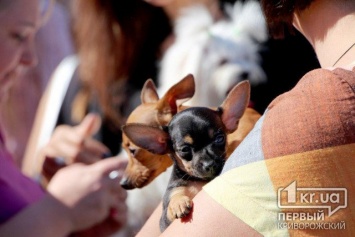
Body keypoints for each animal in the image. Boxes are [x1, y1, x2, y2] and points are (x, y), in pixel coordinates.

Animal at [122, 80, 250, 231]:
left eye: (220, 138)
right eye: (184, 149)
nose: (210, 164)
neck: (201, 181)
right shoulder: (164, 220)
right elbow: (174, 196)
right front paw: (177, 203)